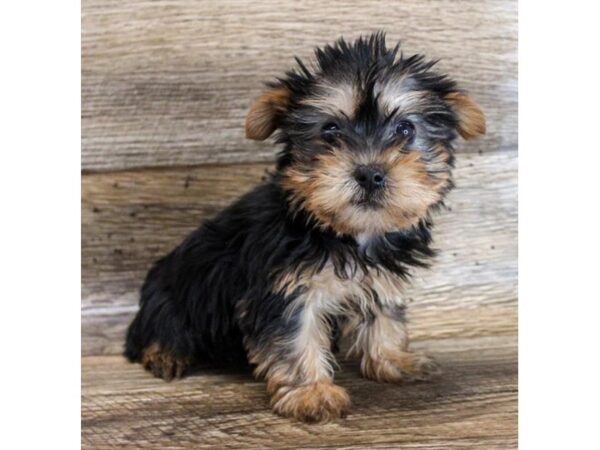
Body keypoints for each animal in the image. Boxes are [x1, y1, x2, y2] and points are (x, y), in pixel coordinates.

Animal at [124, 33, 486, 424]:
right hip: (171, 295)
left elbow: (384, 317)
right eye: (330, 130)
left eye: (406, 129)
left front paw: (394, 358)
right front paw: (312, 394)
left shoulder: (378, 279)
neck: (343, 233)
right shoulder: (283, 290)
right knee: (159, 328)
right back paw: (164, 354)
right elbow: (295, 338)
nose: (370, 173)